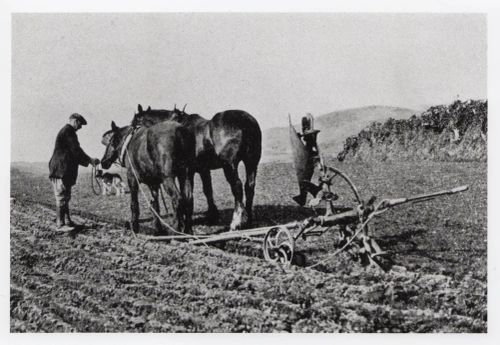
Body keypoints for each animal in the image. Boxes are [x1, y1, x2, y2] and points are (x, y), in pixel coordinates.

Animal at [133, 103, 264, 230]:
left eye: (135, 124)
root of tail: (246, 121)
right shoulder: (203, 170)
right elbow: (207, 190)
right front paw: (212, 215)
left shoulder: (188, 172)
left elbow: (187, 195)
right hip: (252, 162)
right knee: (249, 186)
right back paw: (249, 220)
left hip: (230, 165)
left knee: (237, 186)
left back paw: (236, 222)